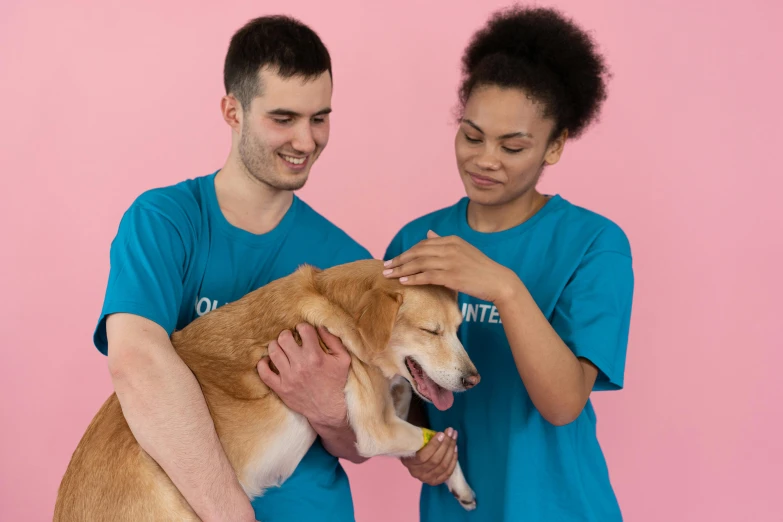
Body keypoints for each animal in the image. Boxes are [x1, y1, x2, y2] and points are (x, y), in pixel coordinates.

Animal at [55, 258, 480, 516]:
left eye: (458, 329)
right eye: (431, 331)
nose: (474, 380)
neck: (337, 304)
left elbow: (406, 395)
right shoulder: (377, 430)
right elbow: (431, 435)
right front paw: (458, 479)